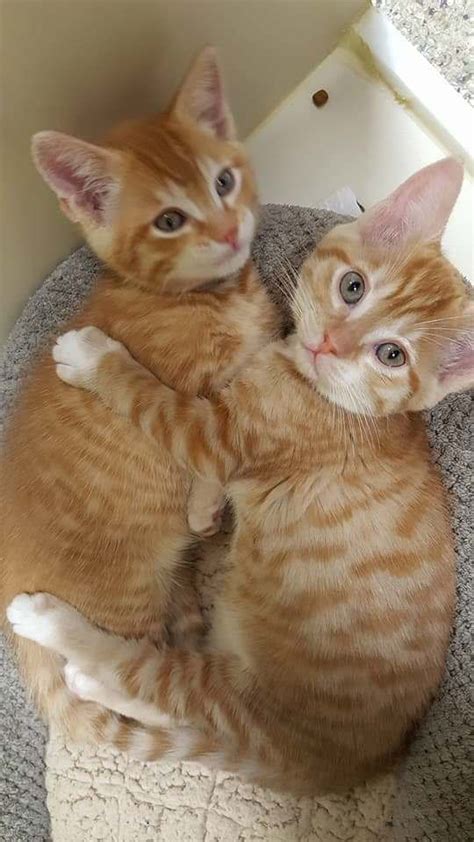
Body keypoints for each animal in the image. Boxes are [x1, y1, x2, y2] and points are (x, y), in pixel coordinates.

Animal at [1, 47, 278, 740]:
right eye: (170, 222)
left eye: (223, 182)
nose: (230, 230)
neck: (210, 296)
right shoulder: (194, 384)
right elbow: (204, 424)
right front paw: (205, 498)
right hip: (121, 604)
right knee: (132, 681)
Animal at [8, 158, 474, 796]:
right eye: (352, 287)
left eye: (391, 356)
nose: (329, 344)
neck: (323, 391)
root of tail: (342, 768)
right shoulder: (231, 423)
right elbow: (214, 464)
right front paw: (204, 508)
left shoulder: (218, 436)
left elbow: (153, 401)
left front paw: (95, 360)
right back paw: (87, 678)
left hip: (233, 694)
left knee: (159, 680)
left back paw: (56, 632)